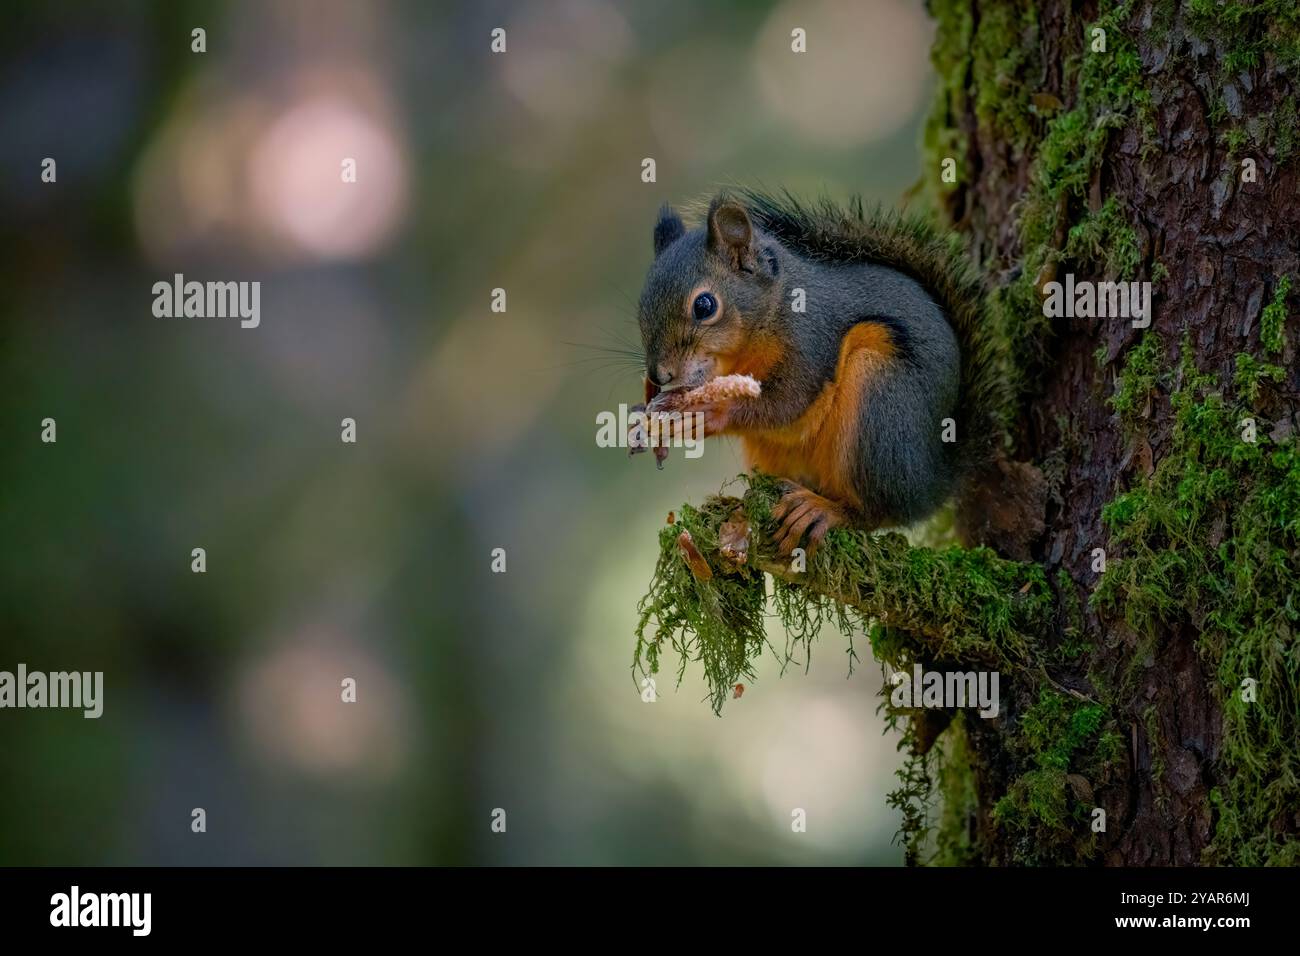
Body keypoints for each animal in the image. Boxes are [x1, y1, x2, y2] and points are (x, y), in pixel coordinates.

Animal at [631, 188, 1009, 556]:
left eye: (704, 305)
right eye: (641, 308)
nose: (659, 375)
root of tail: (935, 481)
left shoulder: (812, 342)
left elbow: (789, 403)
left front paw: (708, 411)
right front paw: (646, 413)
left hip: (881, 404)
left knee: (880, 511)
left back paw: (825, 511)